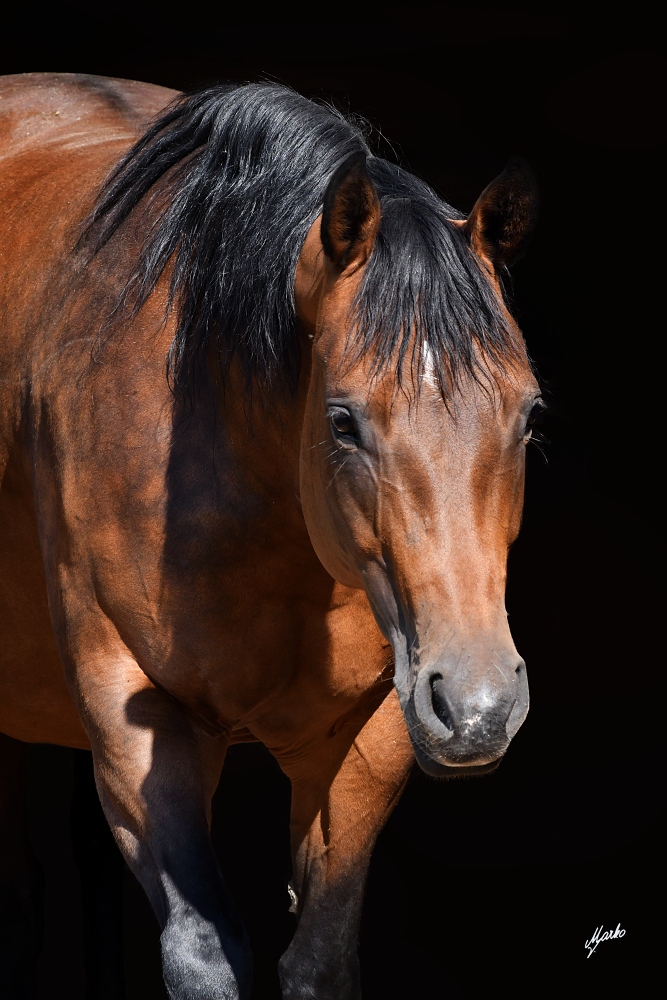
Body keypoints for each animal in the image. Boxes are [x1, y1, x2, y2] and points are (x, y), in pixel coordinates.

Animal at [0, 72, 544, 1000]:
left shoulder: (369, 732)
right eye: (342, 421)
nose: (477, 708)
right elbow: (205, 949)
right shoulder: (135, 715)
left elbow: (319, 955)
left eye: (529, 413)